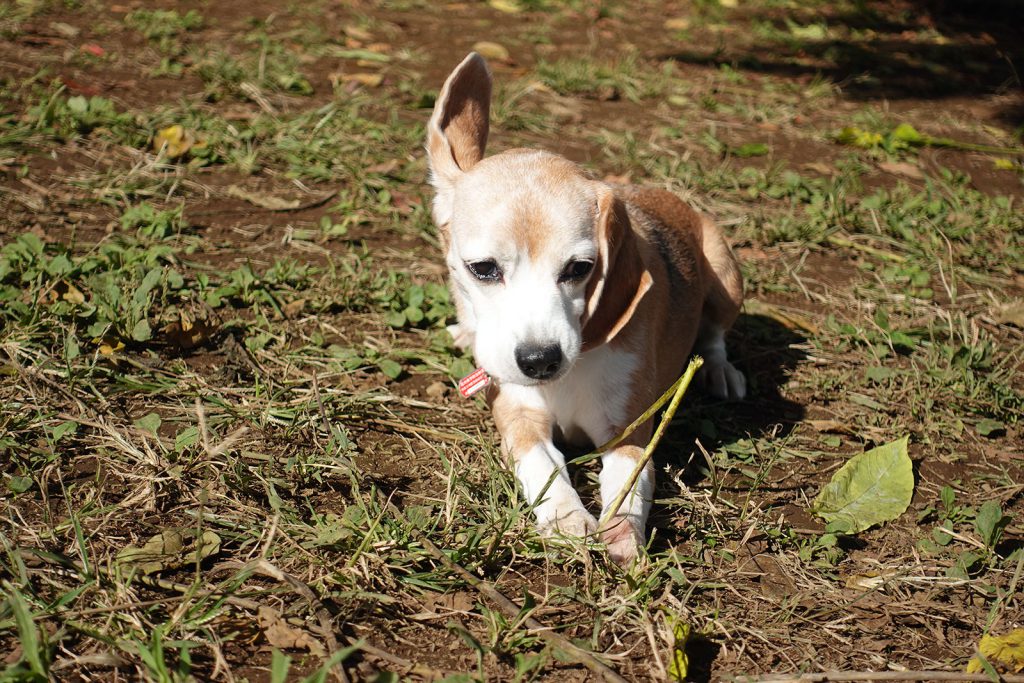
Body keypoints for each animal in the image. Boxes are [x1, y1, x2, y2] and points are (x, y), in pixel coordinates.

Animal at [423, 53, 745, 565]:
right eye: (484, 269)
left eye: (580, 268)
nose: (540, 360)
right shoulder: (519, 417)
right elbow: (542, 466)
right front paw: (567, 519)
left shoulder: (627, 429)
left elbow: (629, 482)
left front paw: (622, 531)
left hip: (725, 272)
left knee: (714, 336)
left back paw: (719, 371)